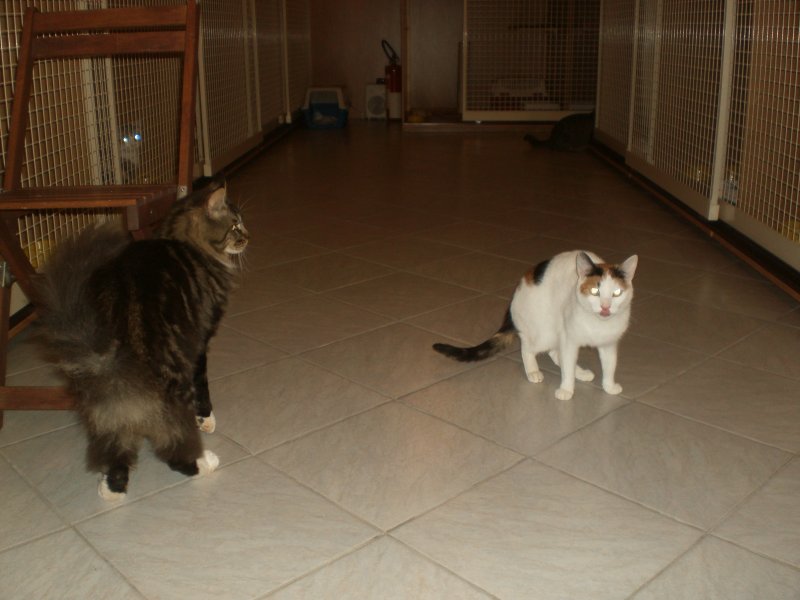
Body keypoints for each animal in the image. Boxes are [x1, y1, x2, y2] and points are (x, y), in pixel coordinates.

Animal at [33, 179, 248, 500]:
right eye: (235, 224)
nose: (247, 236)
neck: (180, 239)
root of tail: (108, 361)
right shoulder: (200, 343)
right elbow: (203, 387)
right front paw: (206, 420)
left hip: (105, 416)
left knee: (115, 452)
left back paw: (111, 489)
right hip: (170, 396)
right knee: (173, 449)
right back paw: (203, 462)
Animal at [433, 250, 638, 401]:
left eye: (617, 293)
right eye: (595, 291)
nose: (605, 307)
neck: (597, 324)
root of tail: (513, 300)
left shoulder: (609, 344)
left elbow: (610, 365)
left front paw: (609, 386)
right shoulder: (569, 340)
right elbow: (567, 364)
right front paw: (566, 389)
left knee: (556, 354)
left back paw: (581, 373)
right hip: (544, 331)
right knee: (528, 349)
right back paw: (533, 371)